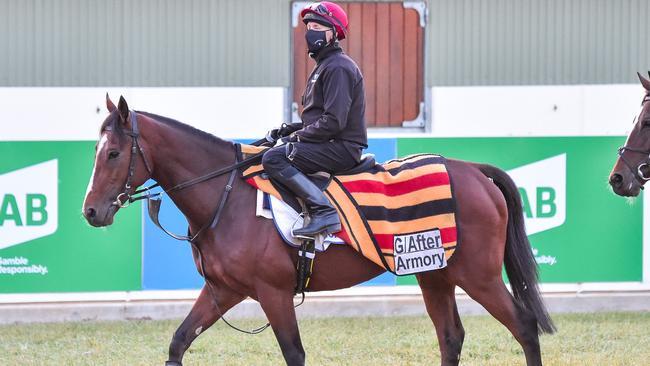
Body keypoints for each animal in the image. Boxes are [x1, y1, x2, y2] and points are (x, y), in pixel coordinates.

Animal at [83, 95, 556, 366]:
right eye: (97, 151)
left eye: (113, 153)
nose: (91, 211)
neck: (226, 196)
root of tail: (474, 170)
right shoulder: (223, 291)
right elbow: (179, 342)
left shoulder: (272, 293)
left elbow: (294, 353)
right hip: (434, 273)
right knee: (451, 337)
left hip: (477, 276)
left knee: (524, 326)